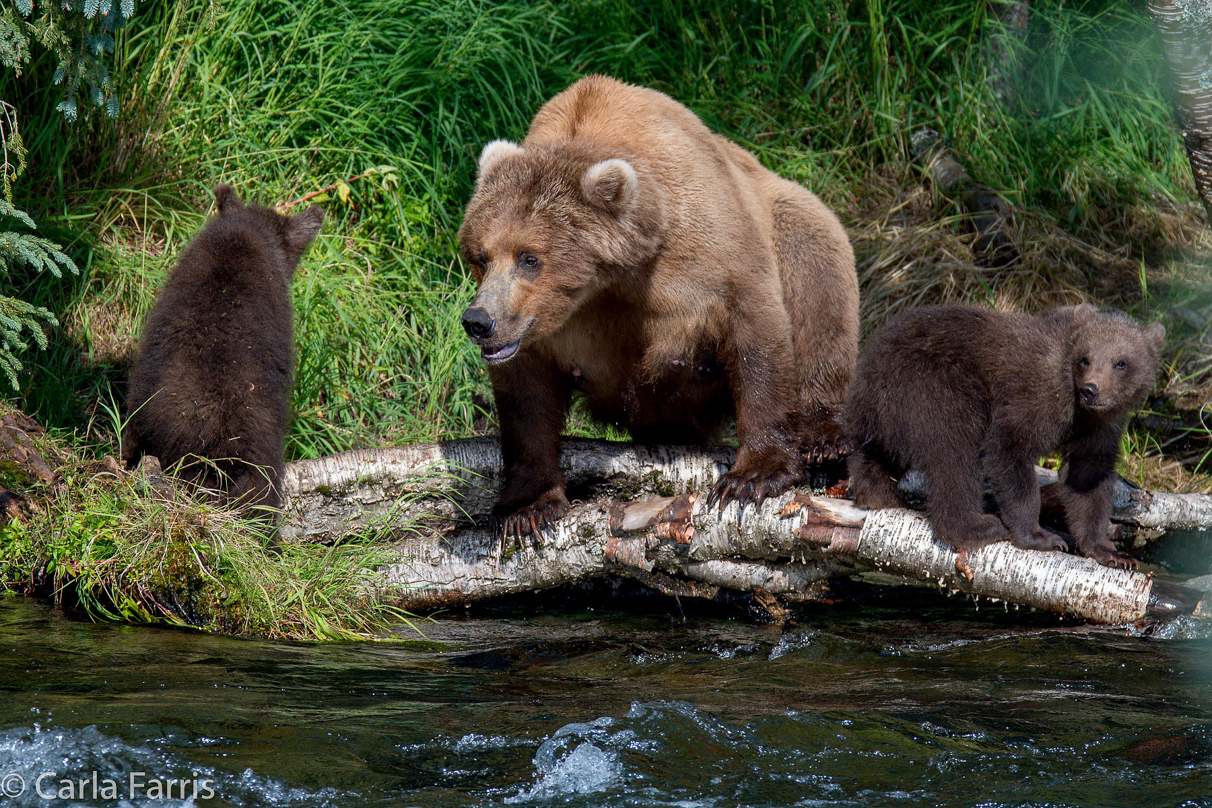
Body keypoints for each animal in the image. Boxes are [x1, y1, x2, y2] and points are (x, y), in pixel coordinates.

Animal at [455, 74, 862, 537]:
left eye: (529, 258)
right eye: (480, 255)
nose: (479, 321)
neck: (607, 284)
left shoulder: (705, 255)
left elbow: (753, 330)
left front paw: (753, 476)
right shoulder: (541, 330)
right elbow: (526, 399)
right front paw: (528, 508)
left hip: (797, 219)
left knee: (818, 289)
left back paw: (824, 437)